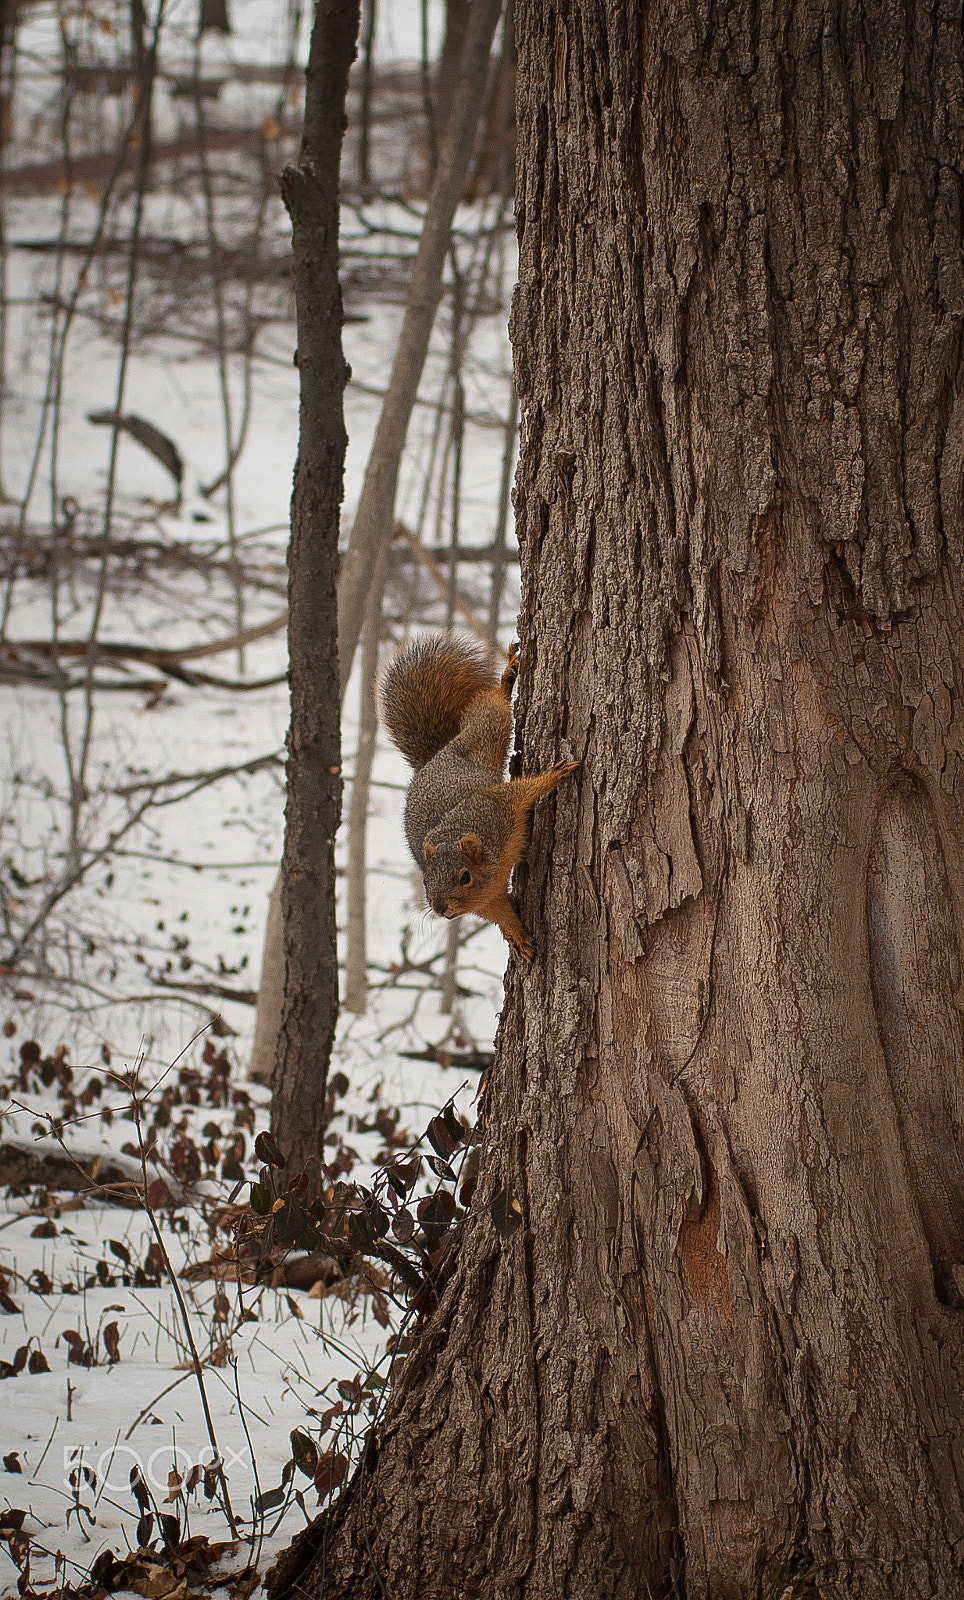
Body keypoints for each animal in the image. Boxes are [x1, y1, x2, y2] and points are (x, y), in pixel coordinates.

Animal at [377, 633, 573, 960]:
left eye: (464, 877)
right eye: (425, 880)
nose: (441, 909)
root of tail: (434, 757)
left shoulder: (496, 807)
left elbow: (524, 790)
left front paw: (553, 776)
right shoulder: (488, 899)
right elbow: (501, 913)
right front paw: (516, 935)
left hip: (484, 736)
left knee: (490, 709)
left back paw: (507, 678)